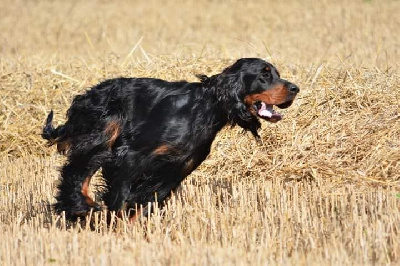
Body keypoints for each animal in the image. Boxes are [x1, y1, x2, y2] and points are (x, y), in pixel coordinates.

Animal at [43, 57, 300, 220]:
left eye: (277, 74)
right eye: (264, 75)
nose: (295, 88)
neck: (206, 109)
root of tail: (88, 94)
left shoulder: (175, 171)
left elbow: (146, 204)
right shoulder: (131, 156)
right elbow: (120, 198)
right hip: (104, 129)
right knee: (78, 169)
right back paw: (79, 206)